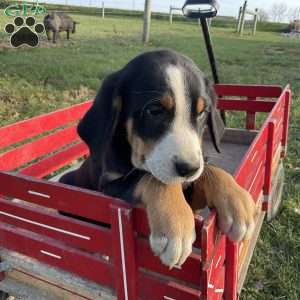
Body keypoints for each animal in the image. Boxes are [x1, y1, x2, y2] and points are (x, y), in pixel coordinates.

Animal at [60, 50, 255, 268]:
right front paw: (175, 224)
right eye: (154, 111)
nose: (189, 169)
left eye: (202, 112)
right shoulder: (108, 185)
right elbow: (150, 177)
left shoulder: (193, 191)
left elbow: (209, 169)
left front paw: (236, 200)